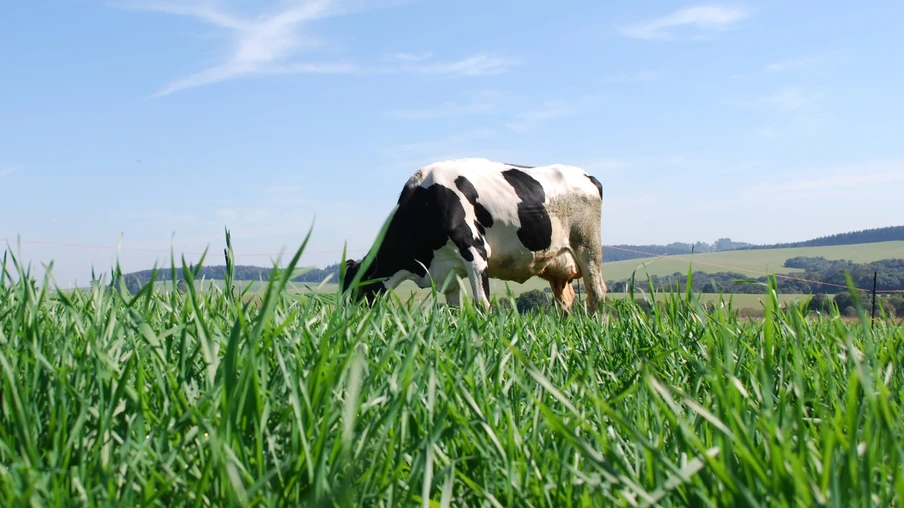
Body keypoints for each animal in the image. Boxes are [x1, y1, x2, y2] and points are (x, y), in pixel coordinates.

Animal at [342, 158, 608, 315]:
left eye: (354, 292)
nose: (345, 324)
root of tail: (588, 177)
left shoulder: (476, 253)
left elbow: (482, 304)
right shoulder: (447, 272)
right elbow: (454, 311)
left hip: (588, 247)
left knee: (598, 294)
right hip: (556, 264)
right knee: (566, 300)